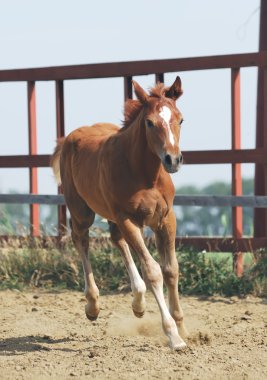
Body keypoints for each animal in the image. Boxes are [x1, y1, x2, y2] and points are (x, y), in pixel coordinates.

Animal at [50, 78, 188, 350]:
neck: (145, 175)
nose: (173, 160)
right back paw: (93, 305)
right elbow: (153, 270)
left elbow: (171, 269)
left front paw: (182, 327)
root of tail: (71, 136)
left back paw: (138, 303)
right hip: (82, 211)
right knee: (81, 240)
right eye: (149, 122)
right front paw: (173, 335)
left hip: (114, 217)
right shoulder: (127, 218)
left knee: (117, 240)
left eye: (180, 119)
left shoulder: (165, 219)